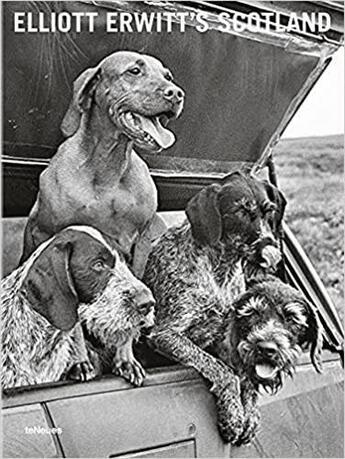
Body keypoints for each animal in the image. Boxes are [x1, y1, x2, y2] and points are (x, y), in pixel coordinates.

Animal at [20, 49, 184, 276]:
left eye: (168, 76)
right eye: (134, 70)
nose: (177, 94)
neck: (109, 166)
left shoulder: (142, 240)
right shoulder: (44, 232)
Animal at [141, 171, 286, 444]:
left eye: (269, 211)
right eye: (240, 211)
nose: (271, 249)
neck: (221, 270)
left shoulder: (227, 338)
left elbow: (245, 374)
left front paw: (250, 412)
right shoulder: (166, 334)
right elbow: (223, 371)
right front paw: (233, 415)